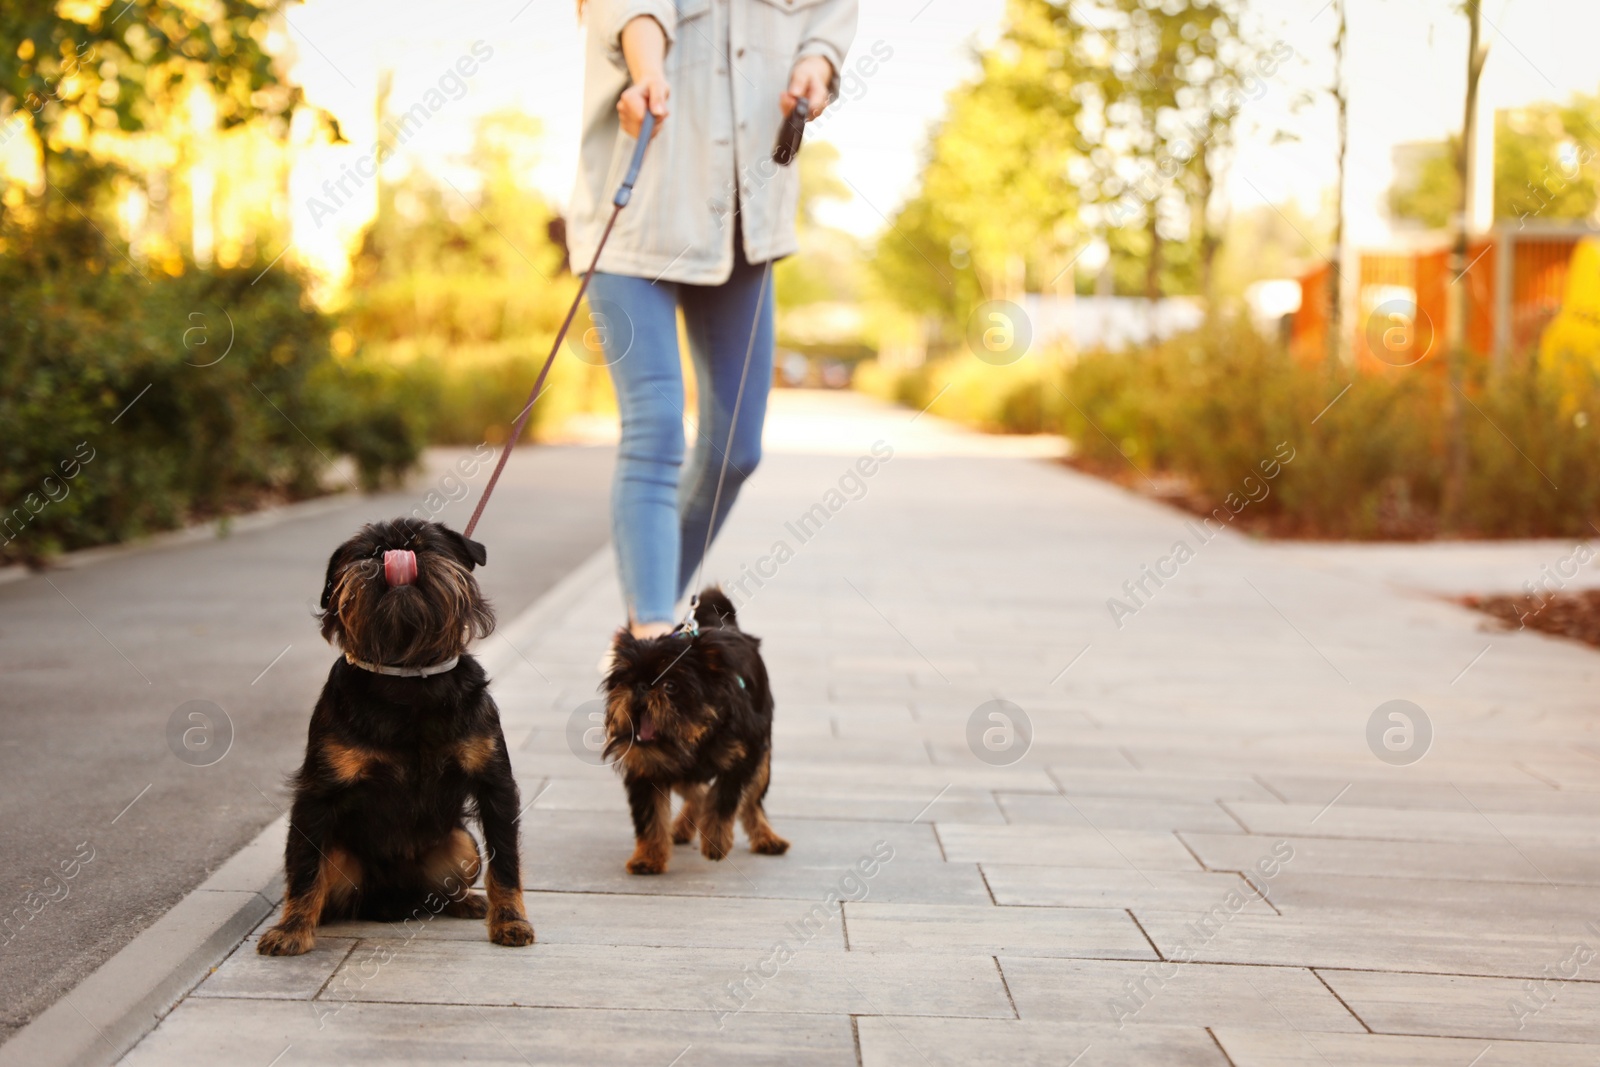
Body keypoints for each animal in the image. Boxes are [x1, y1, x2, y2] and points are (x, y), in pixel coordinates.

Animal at [256, 518, 537, 959]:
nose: (396, 552)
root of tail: (394, 900)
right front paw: (291, 929)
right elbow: (303, 872)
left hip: (462, 845)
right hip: (343, 857)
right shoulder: (316, 798)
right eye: (367, 553)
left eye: (426, 545)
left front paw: (510, 920)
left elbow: (506, 862)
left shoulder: (496, 787)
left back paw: (467, 902)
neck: (407, 678)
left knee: (447, 889)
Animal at [601, 591, 787, 876]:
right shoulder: (647, 768)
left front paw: (716, 840)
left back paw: (766, 838)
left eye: (670, 686)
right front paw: (649, 857)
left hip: (761, 760)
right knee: (696, 793)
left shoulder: (745, 757)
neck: (696, 736)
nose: (641, 686)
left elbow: (723, 798)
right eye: (626, 680)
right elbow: (651, 817)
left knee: (751, 802)